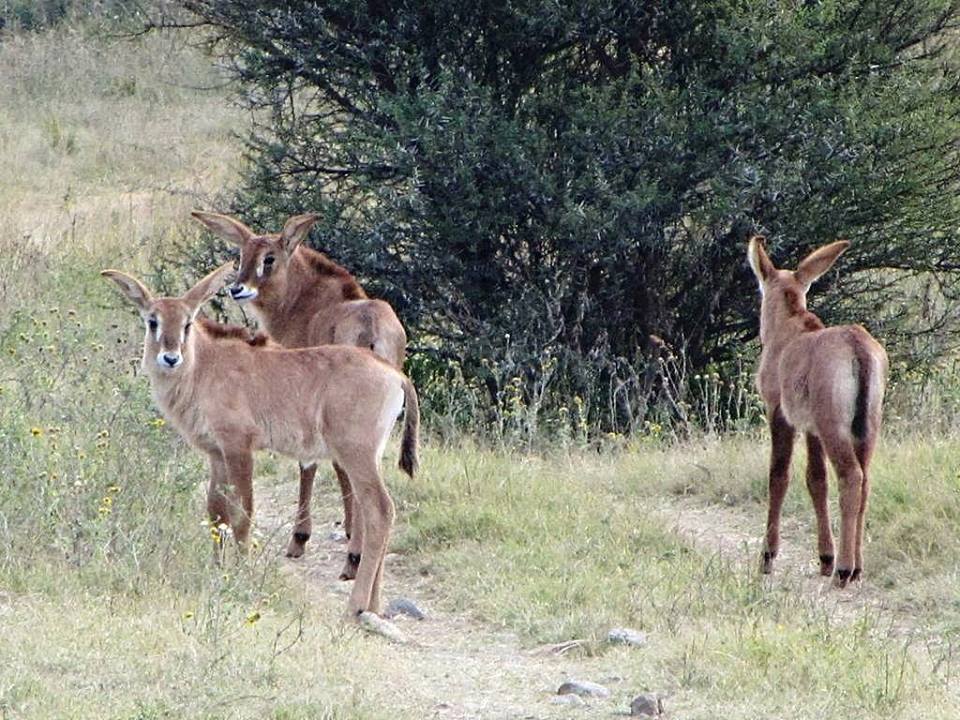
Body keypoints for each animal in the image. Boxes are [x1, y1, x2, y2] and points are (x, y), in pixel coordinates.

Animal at [101, 264, 419, 617]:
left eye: (187, 322)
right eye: (152, 321)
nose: (170, 358)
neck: (205, 366)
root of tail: (396, 376)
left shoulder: (239, 447)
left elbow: (242, 513)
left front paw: (240, 572)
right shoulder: (217, 454)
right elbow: (216, 512)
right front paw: (217, 569)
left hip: (356, 453)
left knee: (379, 510)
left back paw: (356, 605)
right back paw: (374, 605)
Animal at [191, 211, 407, 580]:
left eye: (269, 258)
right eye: (242, 255)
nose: (237, 288)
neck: (308, 301)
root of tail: (371, 327)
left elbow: (310, 464)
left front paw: (300, 538)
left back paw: (353, 558)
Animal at [748, 236, 887, 587]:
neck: (790, 331)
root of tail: (857, 347)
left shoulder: (780, 414)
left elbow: (779, 476)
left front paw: (767, 557)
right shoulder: (811, 429)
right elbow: (816, 479)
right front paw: (824, 557)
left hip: (834, 428)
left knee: (851, 477)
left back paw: (844, 570)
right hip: (866, 429)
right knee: (865, 481)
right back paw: (856, 567)